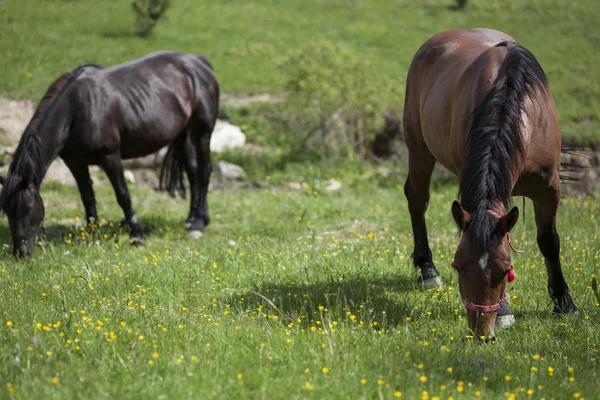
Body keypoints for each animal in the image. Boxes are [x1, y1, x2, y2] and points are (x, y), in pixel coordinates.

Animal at [0, 51, 220, 256]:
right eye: (7, 212)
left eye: (27, 210)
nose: (21, 252)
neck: (76, 111)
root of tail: (199, 62)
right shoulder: (75, 163)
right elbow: (87, 198)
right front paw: (91, 234)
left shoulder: (110, 158)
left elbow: (123, 195)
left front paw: (136, 235)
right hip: (183, 133)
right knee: (192, 172)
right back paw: (191, 218)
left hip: (202, 132)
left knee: (205, 170)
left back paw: (199, 223)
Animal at [404, 29, 576, 340]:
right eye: (458, 266)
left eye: (506, 269)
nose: (481, 330)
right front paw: (506, 312)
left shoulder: (549, 189)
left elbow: (549, 241)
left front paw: (564, 303)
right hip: (418, 148)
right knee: (417, 199)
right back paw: (428, 270)